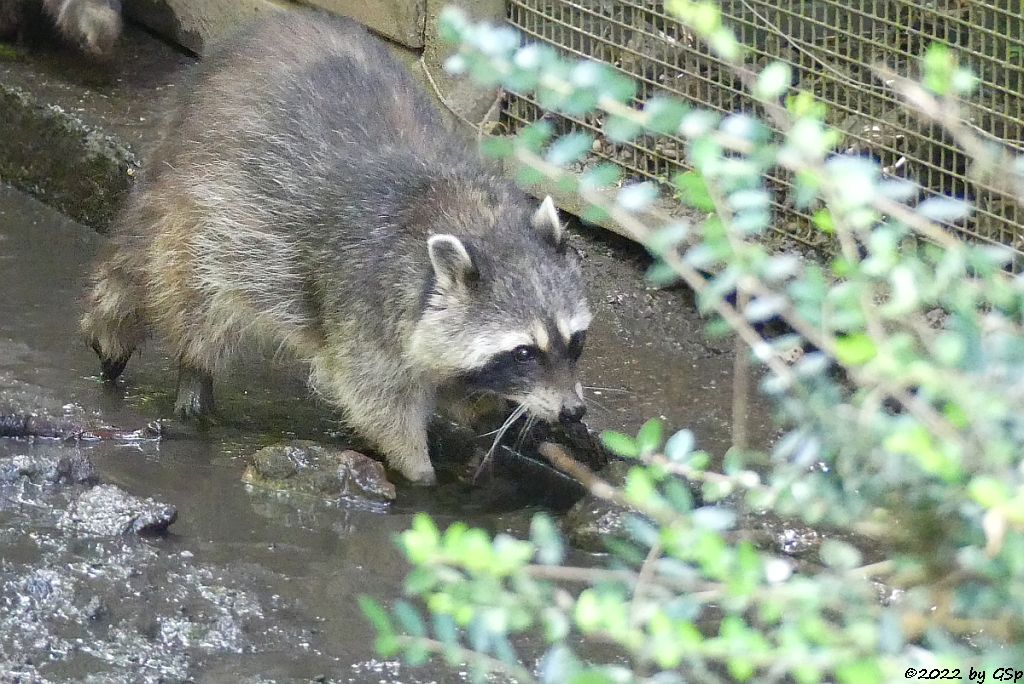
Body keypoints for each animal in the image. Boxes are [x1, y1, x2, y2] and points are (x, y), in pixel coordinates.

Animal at [81, 9, 593, 481]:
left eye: (575, 341)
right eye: (523, 352)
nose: (573, 411)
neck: (476, 219)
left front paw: (497, 414)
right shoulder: (366, 297)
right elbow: (375, 398)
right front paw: (418, 471)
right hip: (206, 208)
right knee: (196, 292)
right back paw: (195, 376)